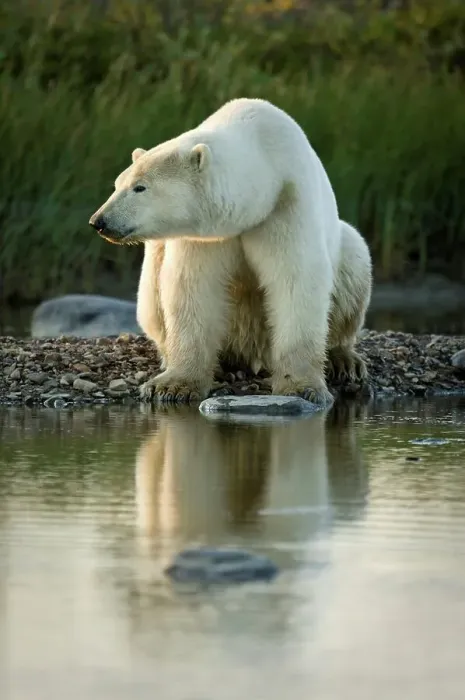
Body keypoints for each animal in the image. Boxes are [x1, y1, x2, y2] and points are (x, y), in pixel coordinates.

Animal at [89, 97, 372, 405]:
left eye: (140, 187)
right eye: (117, 184)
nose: (99, 221)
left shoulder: (287, 204)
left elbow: (296, 281)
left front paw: (302, 386)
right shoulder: (204, 237)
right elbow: (192, 287)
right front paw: (173, 385)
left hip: (344, 253)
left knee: (354, 262)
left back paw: (343, 359)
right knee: (153, 297)